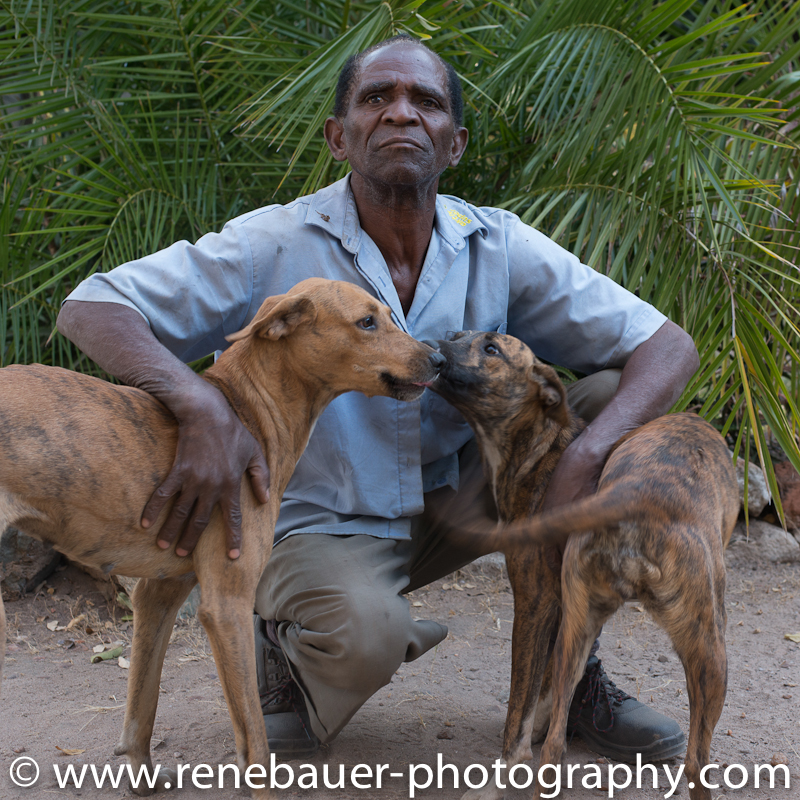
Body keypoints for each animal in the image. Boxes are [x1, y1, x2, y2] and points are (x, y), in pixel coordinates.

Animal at [0, 277, 444, 798]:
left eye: (389, 317)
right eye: (367, 322)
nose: (440, 360)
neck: (250, 411)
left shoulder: (159, 591)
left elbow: (143, 700)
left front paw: (140, 775)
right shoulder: (226, 605)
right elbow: (253, 739)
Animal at [427, 330, 739, 800]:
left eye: (492, 348)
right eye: (459, 336)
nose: (436, 343)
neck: (536, 450)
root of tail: (638, 495)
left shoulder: (538, 604)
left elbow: (524, 707)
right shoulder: (552, 606)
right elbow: (533, 704)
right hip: (702, 649)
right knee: (692, 763)